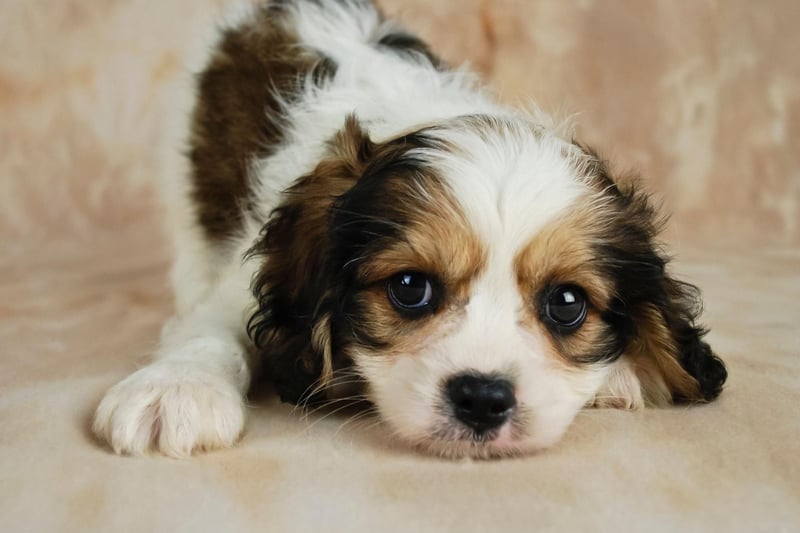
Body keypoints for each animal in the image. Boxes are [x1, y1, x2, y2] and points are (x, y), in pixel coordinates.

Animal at [92, 0, 724, 458]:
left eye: (567, 303)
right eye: (409, 288)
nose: (482, 399)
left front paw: (622, 374)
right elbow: (213, 326)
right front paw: (176, 388)